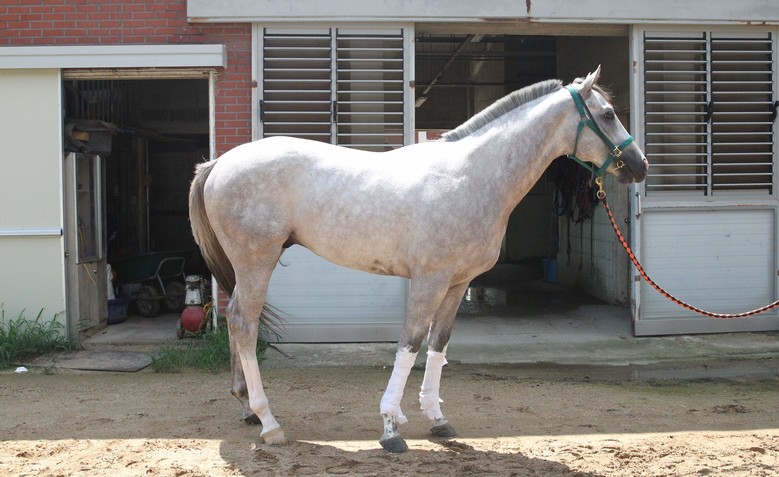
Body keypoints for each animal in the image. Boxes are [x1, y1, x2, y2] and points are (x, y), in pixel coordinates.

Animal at [189, 66, 648, 453]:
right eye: (608, 114)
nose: (640, 166)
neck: (471, 175)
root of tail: (219, 163)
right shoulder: (429, 280)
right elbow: (409, 343)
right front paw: (391, 427)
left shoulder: (458, 283)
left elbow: (438, 344)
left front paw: (437, 418)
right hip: (257, 261)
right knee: (244, 324)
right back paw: (269, 422)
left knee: (234, 317)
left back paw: (247, 409)